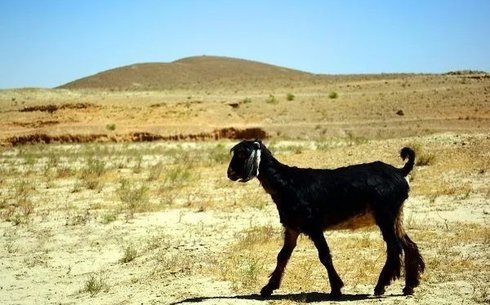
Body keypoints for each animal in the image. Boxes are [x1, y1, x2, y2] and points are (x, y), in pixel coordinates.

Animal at [228, 140, 424, 296]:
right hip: (397, 215)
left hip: (385, 215)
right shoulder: (292, 227)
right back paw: (409, 287)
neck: (286, 182)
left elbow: (324, 255)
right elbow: (282, 256)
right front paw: (268, 288)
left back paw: (380, 286)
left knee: (394, 248)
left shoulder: (313, 226)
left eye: (242, 153)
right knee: (409, 245)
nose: (229, 173)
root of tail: (400, 172)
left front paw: (336, 288)